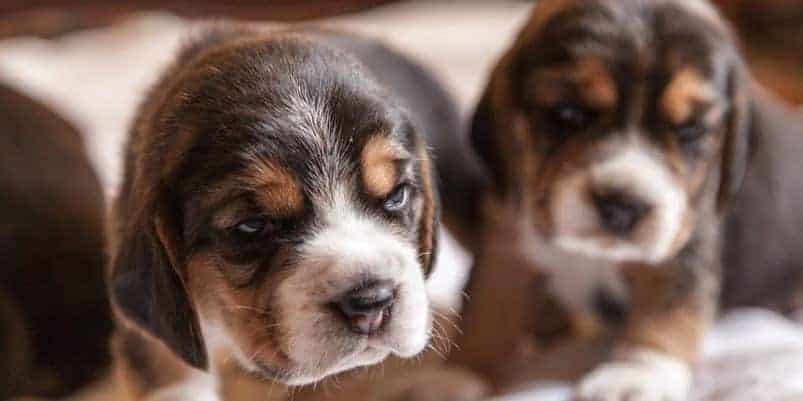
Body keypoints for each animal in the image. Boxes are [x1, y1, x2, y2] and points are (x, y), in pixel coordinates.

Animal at [450, 0, 803, 400]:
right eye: (567, 114)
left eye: (689, 131)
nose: (622, 206)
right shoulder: (505, 239)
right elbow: (486, 312)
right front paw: (456, 374)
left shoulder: (684, 248)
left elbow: (662, 318)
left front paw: (636, 375)